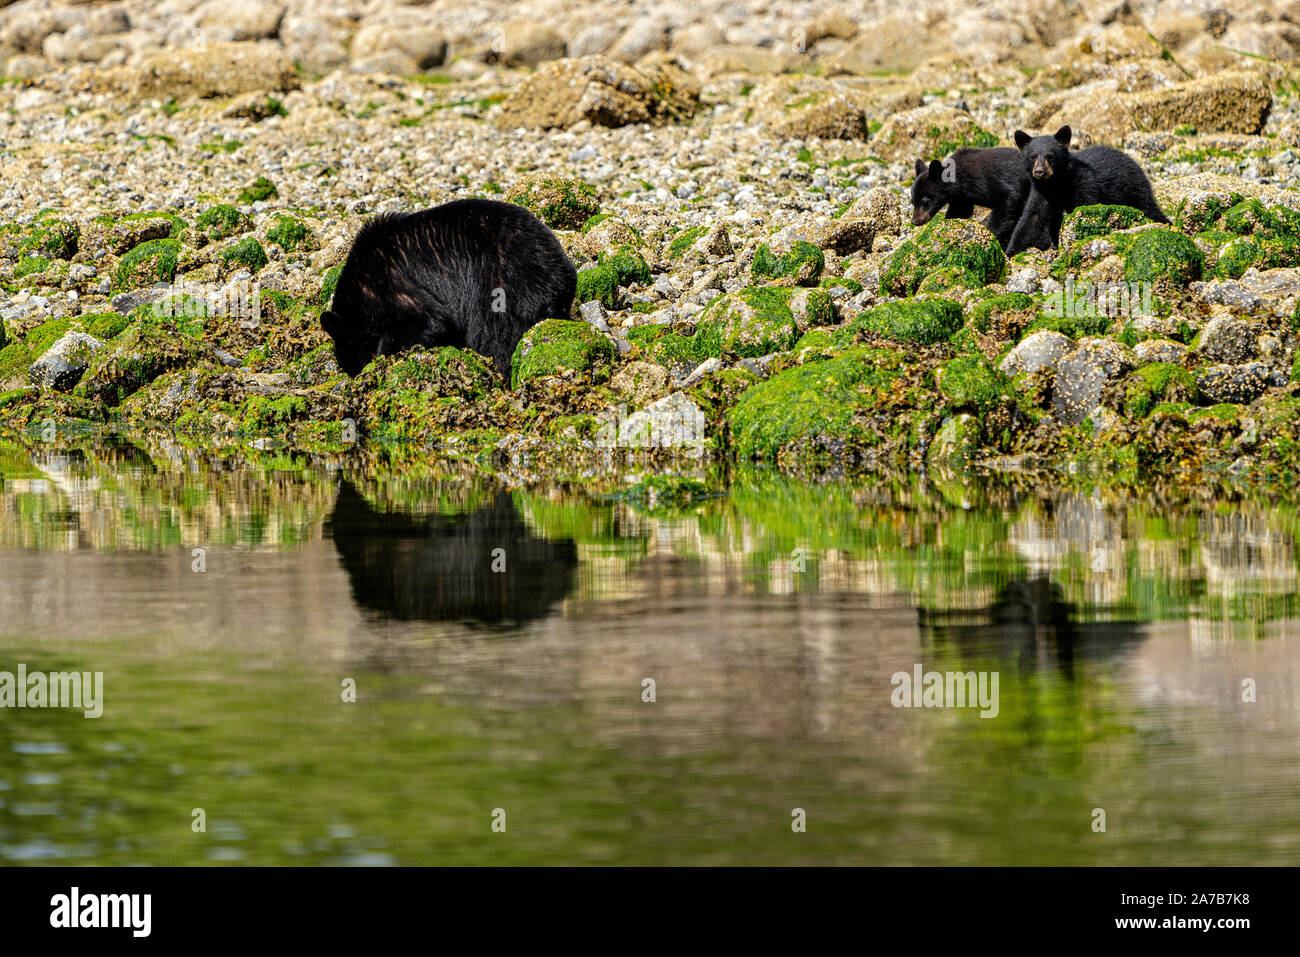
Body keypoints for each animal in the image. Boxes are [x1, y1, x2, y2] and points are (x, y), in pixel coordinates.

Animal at [998, 127, 1175, 256]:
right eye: (1033, 156)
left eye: (1050, 155)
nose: (1040, 171)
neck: (1056, 184)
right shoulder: (1041, 194)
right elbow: (1031, 220)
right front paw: (1010, 252)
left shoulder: (1084, 184)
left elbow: (1087, 206)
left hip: (1134, 189)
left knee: (1149, 208)